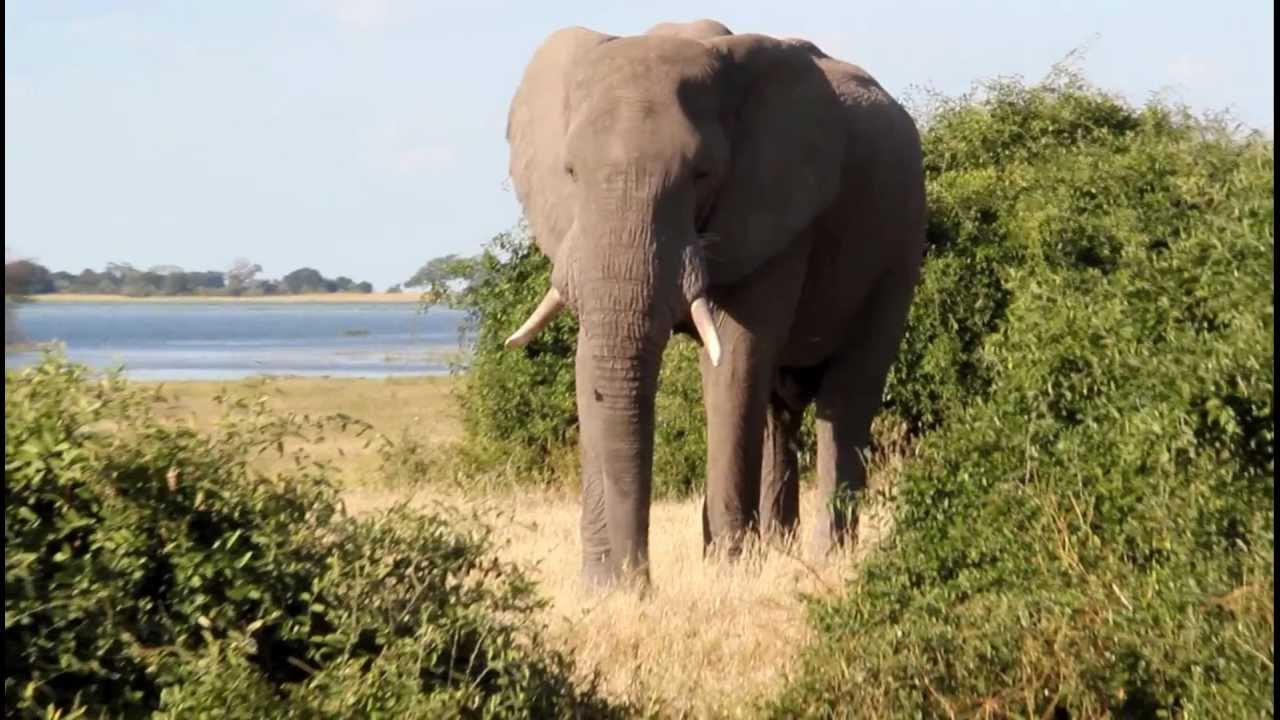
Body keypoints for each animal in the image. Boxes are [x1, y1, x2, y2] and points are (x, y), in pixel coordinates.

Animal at [502, 19, 926, 590]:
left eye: (701, 174)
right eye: (569, 172)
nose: (640, 583)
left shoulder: (773, 210)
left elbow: (734, 359)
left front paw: (729, 572)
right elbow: (592, 359)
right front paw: (600, 589)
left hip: (899, 245)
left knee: (848, 395)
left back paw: (824, 561)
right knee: (778, 410)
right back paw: (780, 549)